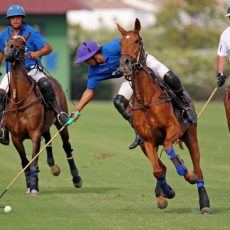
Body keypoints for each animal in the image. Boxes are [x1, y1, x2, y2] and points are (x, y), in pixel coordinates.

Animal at [2, 34, 82, 195]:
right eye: (7, 41)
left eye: (23, 44)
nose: (8, 52)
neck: (19, 100)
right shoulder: (15, 137)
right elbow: (25, 162)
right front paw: (29, 184)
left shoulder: (35, 133)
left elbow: (33, 160)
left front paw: (34, 187)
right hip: (45, 126)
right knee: (48, 141)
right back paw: (53, 166)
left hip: (59, 122)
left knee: (66, 146)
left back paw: (76, 178)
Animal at [117, 18, 211, 214]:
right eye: (120, 43)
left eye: (136, 41)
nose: (125, 64)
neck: (146, 100)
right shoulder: (147, 141)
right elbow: (158, 170)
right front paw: (167, 192)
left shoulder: (173, 129)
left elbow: (169, 148)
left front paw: (185, 172)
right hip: (144, 146)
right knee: (162, 166)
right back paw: (161, 193)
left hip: (191, 135)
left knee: (198, 168)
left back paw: (204, 201)